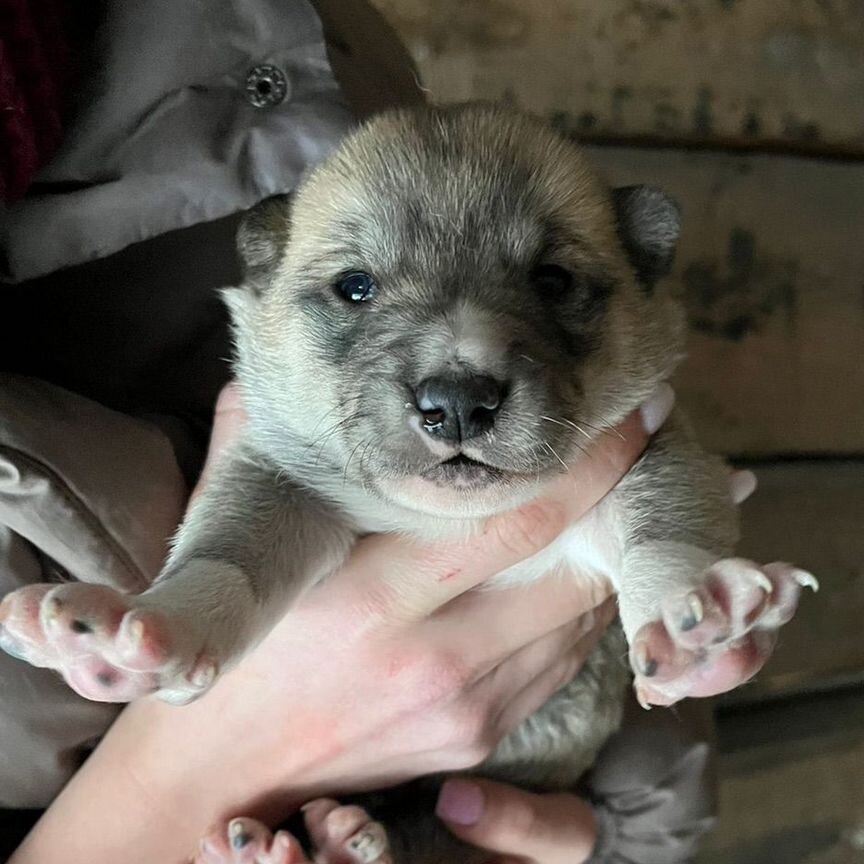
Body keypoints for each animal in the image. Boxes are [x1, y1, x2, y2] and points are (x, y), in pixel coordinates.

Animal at [0, 104, 812, 860]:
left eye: (553, 280)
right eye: (355, 287)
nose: (457, 403)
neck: (446, 518)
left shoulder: (656, 448)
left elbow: (664, 530)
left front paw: (694, 615)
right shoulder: (281, 481)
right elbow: (227, 555)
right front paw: (144, 630)